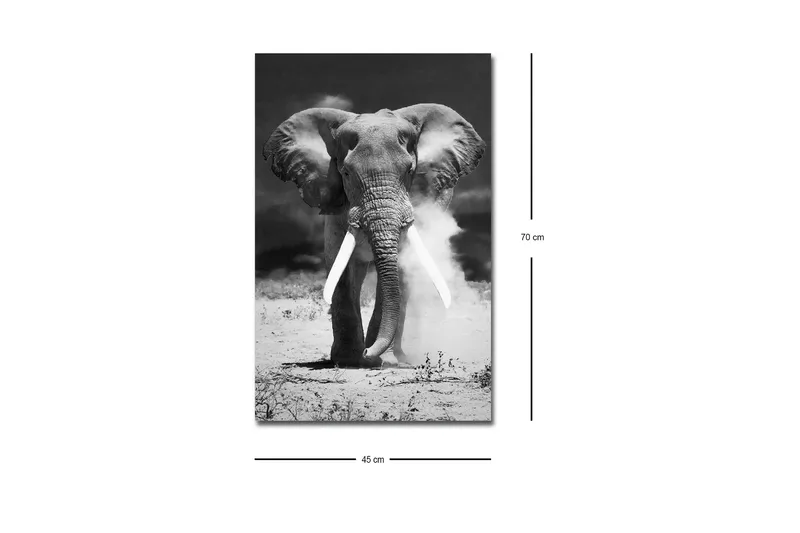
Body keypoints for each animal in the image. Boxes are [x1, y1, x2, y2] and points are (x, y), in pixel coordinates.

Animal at [262, 104, 485, 367]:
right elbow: (340, 263)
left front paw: (380, 359)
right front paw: (349, 360)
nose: (367, 353)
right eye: (346, 173)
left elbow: (400, 266)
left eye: (410, 170)